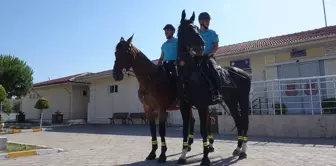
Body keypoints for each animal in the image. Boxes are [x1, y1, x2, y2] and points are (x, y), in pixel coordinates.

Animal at [176, 10, 252, 165]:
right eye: (187, 28)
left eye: (196, 28)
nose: (201, 44)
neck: (189, 74)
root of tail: (243, 73)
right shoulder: (185, 107)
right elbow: (186, 130)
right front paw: (183, 155)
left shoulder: (202, 106)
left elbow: (204, 130)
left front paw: (205, 158)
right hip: (231, 101)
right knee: (238, 121)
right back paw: (237, 148)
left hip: (243, 99)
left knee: (244, 122)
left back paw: (243, 151)